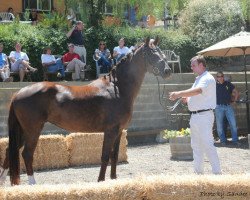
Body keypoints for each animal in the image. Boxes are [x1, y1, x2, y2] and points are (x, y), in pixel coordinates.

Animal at [0, 36, 171, 185]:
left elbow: (114, 157)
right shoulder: (110, 131)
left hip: (22, 131)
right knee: (27, 154)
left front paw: (114, 180)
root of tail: (18, 94)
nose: (168, 71)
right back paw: (33, 184)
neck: (116, 88)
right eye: (151, 53)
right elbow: (105, 156)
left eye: (161, 51)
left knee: (10, 151)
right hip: (33, 130)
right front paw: (101, 181)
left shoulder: (119, 131)